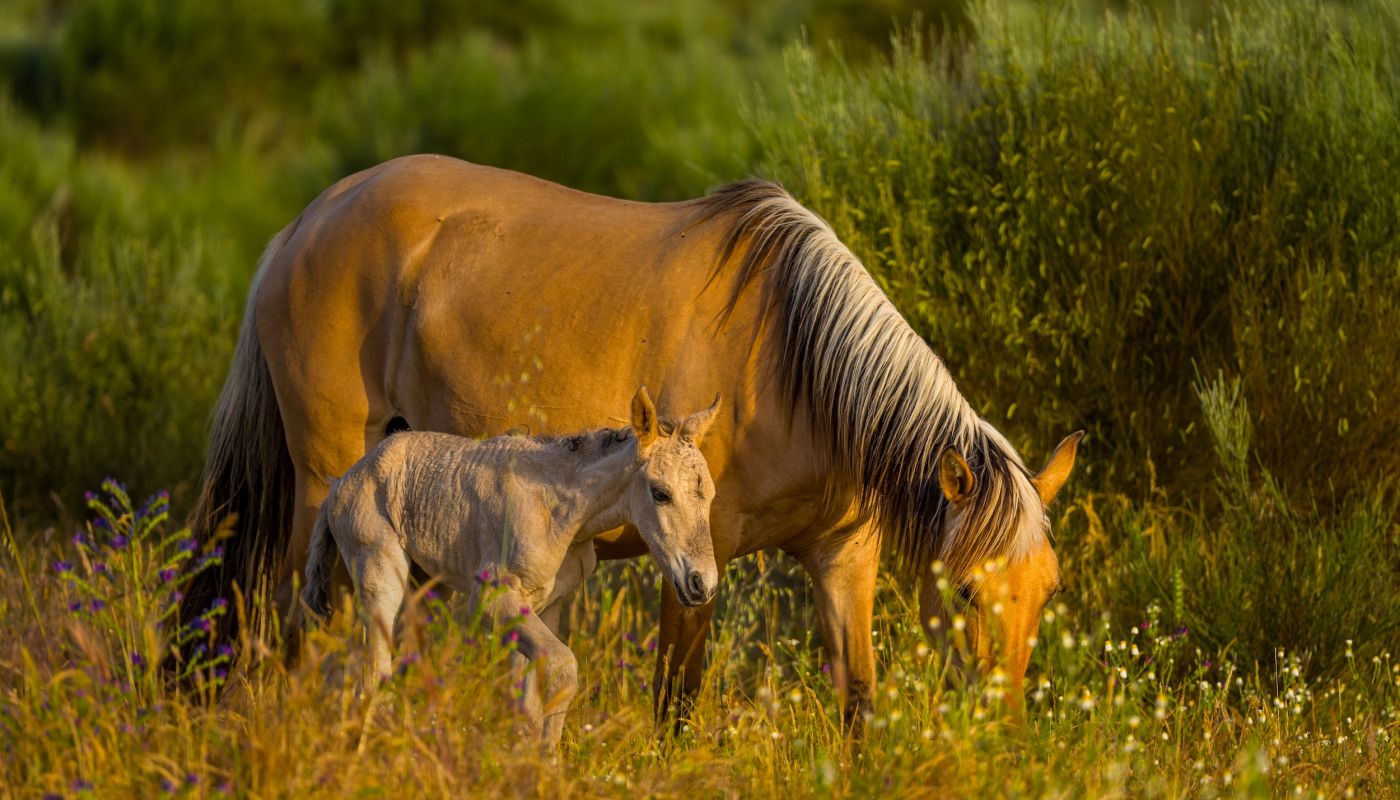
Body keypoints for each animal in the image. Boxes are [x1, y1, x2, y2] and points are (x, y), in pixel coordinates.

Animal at [301, 387, 720, 745]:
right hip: (379, 571)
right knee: (375, 671)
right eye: (660, 494)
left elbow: (531, 699)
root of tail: (339, 484)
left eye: (711, 496)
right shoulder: (489, 598)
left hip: (423, 584)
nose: (703, 583)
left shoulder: (547, 605)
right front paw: (548, 766)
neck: (560, 508)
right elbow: (564, 669)